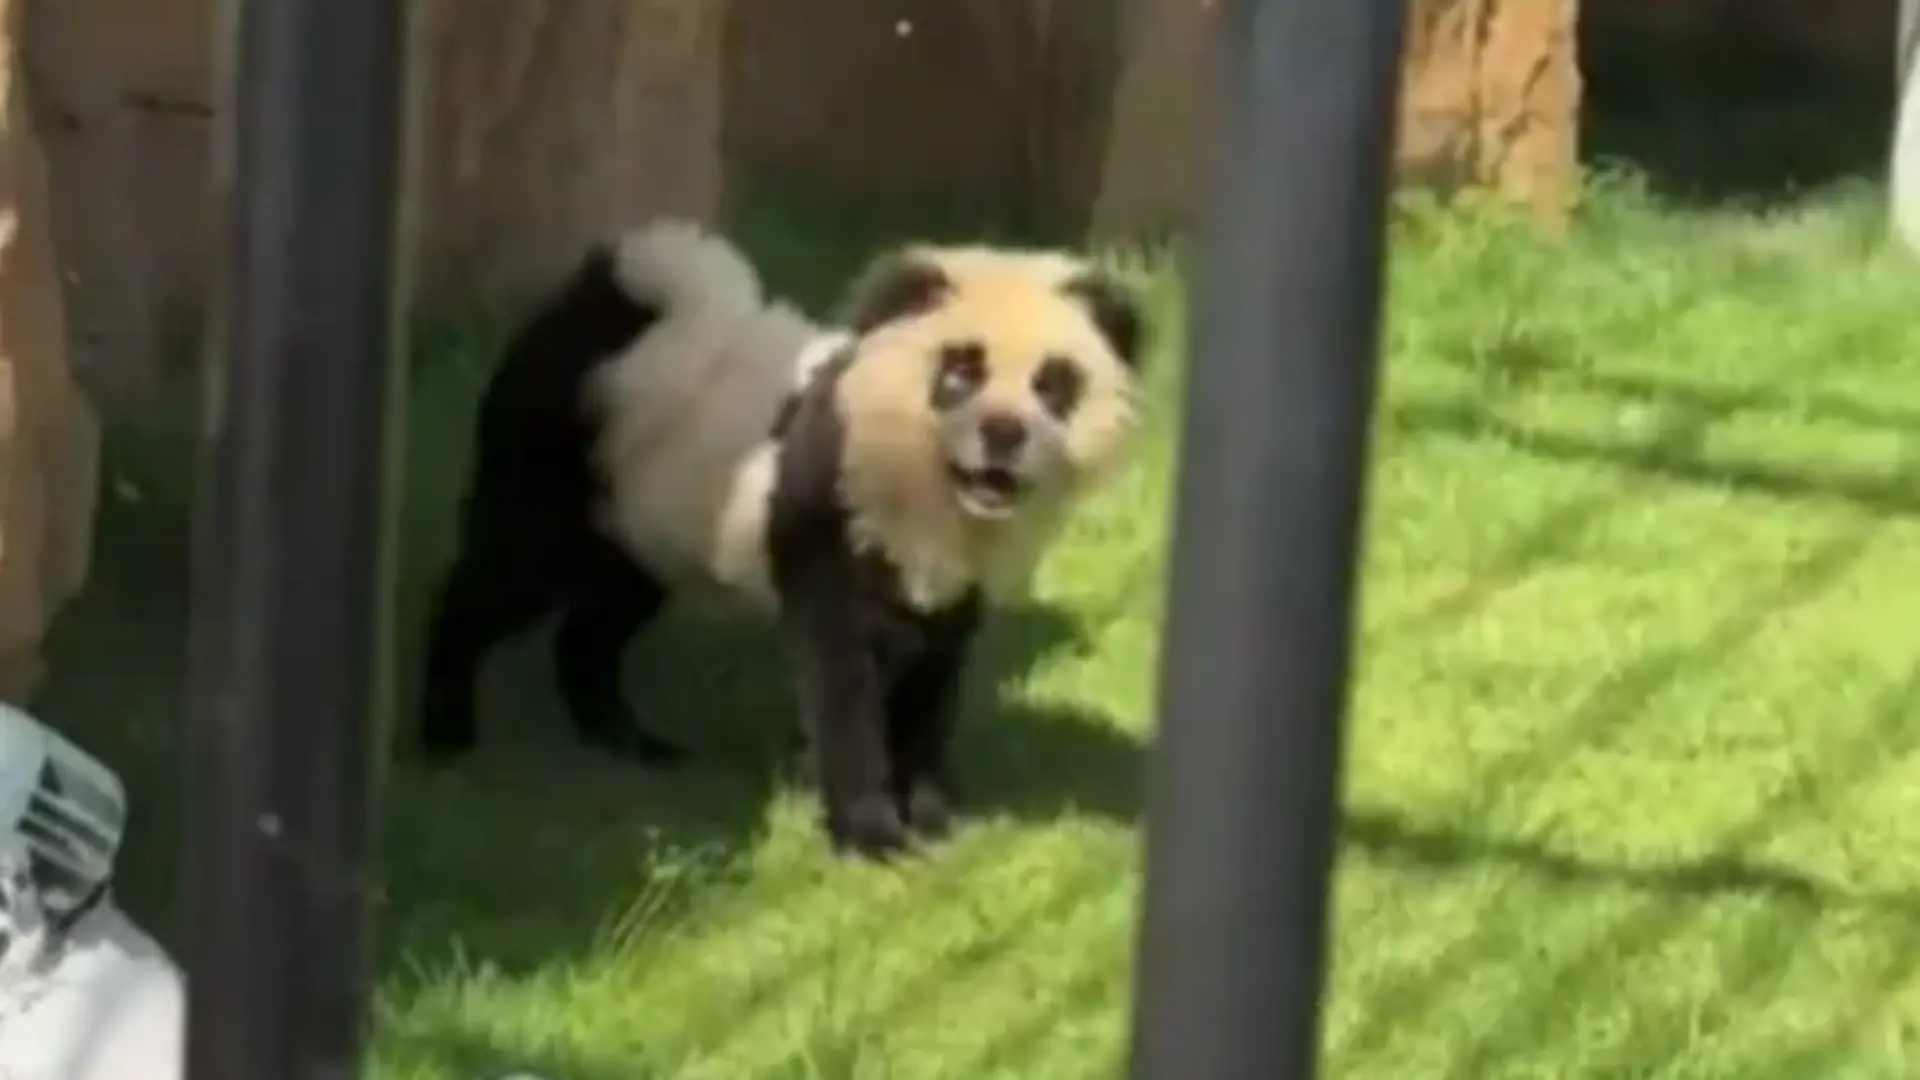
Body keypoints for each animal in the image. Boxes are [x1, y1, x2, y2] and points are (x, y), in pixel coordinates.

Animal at [415, 219, 1149, 859]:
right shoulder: (827, 518)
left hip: (646, 523)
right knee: (499, 581)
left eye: (1054, 384)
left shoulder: (950, 587)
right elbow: (843, 681)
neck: (927, 490)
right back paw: (446, 730)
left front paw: (934, 819)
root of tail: (603, 298)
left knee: (593, 628)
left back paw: (631, 743)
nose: (1003, 434)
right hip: (552, 468)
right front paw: (873, 837)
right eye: (959, 372)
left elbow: (931, 685)